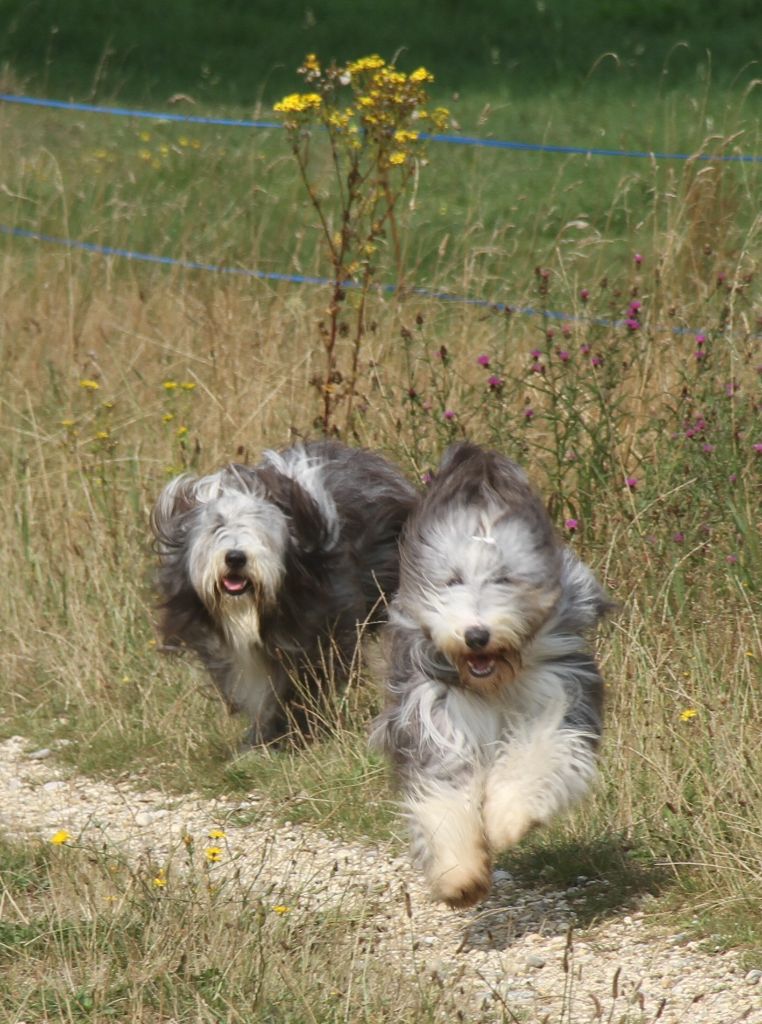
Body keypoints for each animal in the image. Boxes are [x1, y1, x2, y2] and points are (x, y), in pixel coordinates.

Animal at [368, 444, 606, 909]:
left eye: (504, 578)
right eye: (452, 580)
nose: (476, 635)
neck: (493, 683)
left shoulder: (557, 697)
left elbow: (536, 756)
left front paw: (508, 819)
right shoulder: (435, 714)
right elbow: (444, 788)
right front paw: (460, 875)